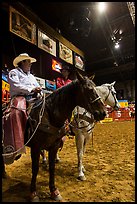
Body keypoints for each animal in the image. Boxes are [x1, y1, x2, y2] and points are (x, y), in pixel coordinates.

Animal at [3, 71, 107, 201]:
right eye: (89, 89)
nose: (103, 112)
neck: (50, 114)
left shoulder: (55, 145)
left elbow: (52, 167)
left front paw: (54, 191)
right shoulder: (36, 147)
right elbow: (35, 168)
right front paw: (33, 193)